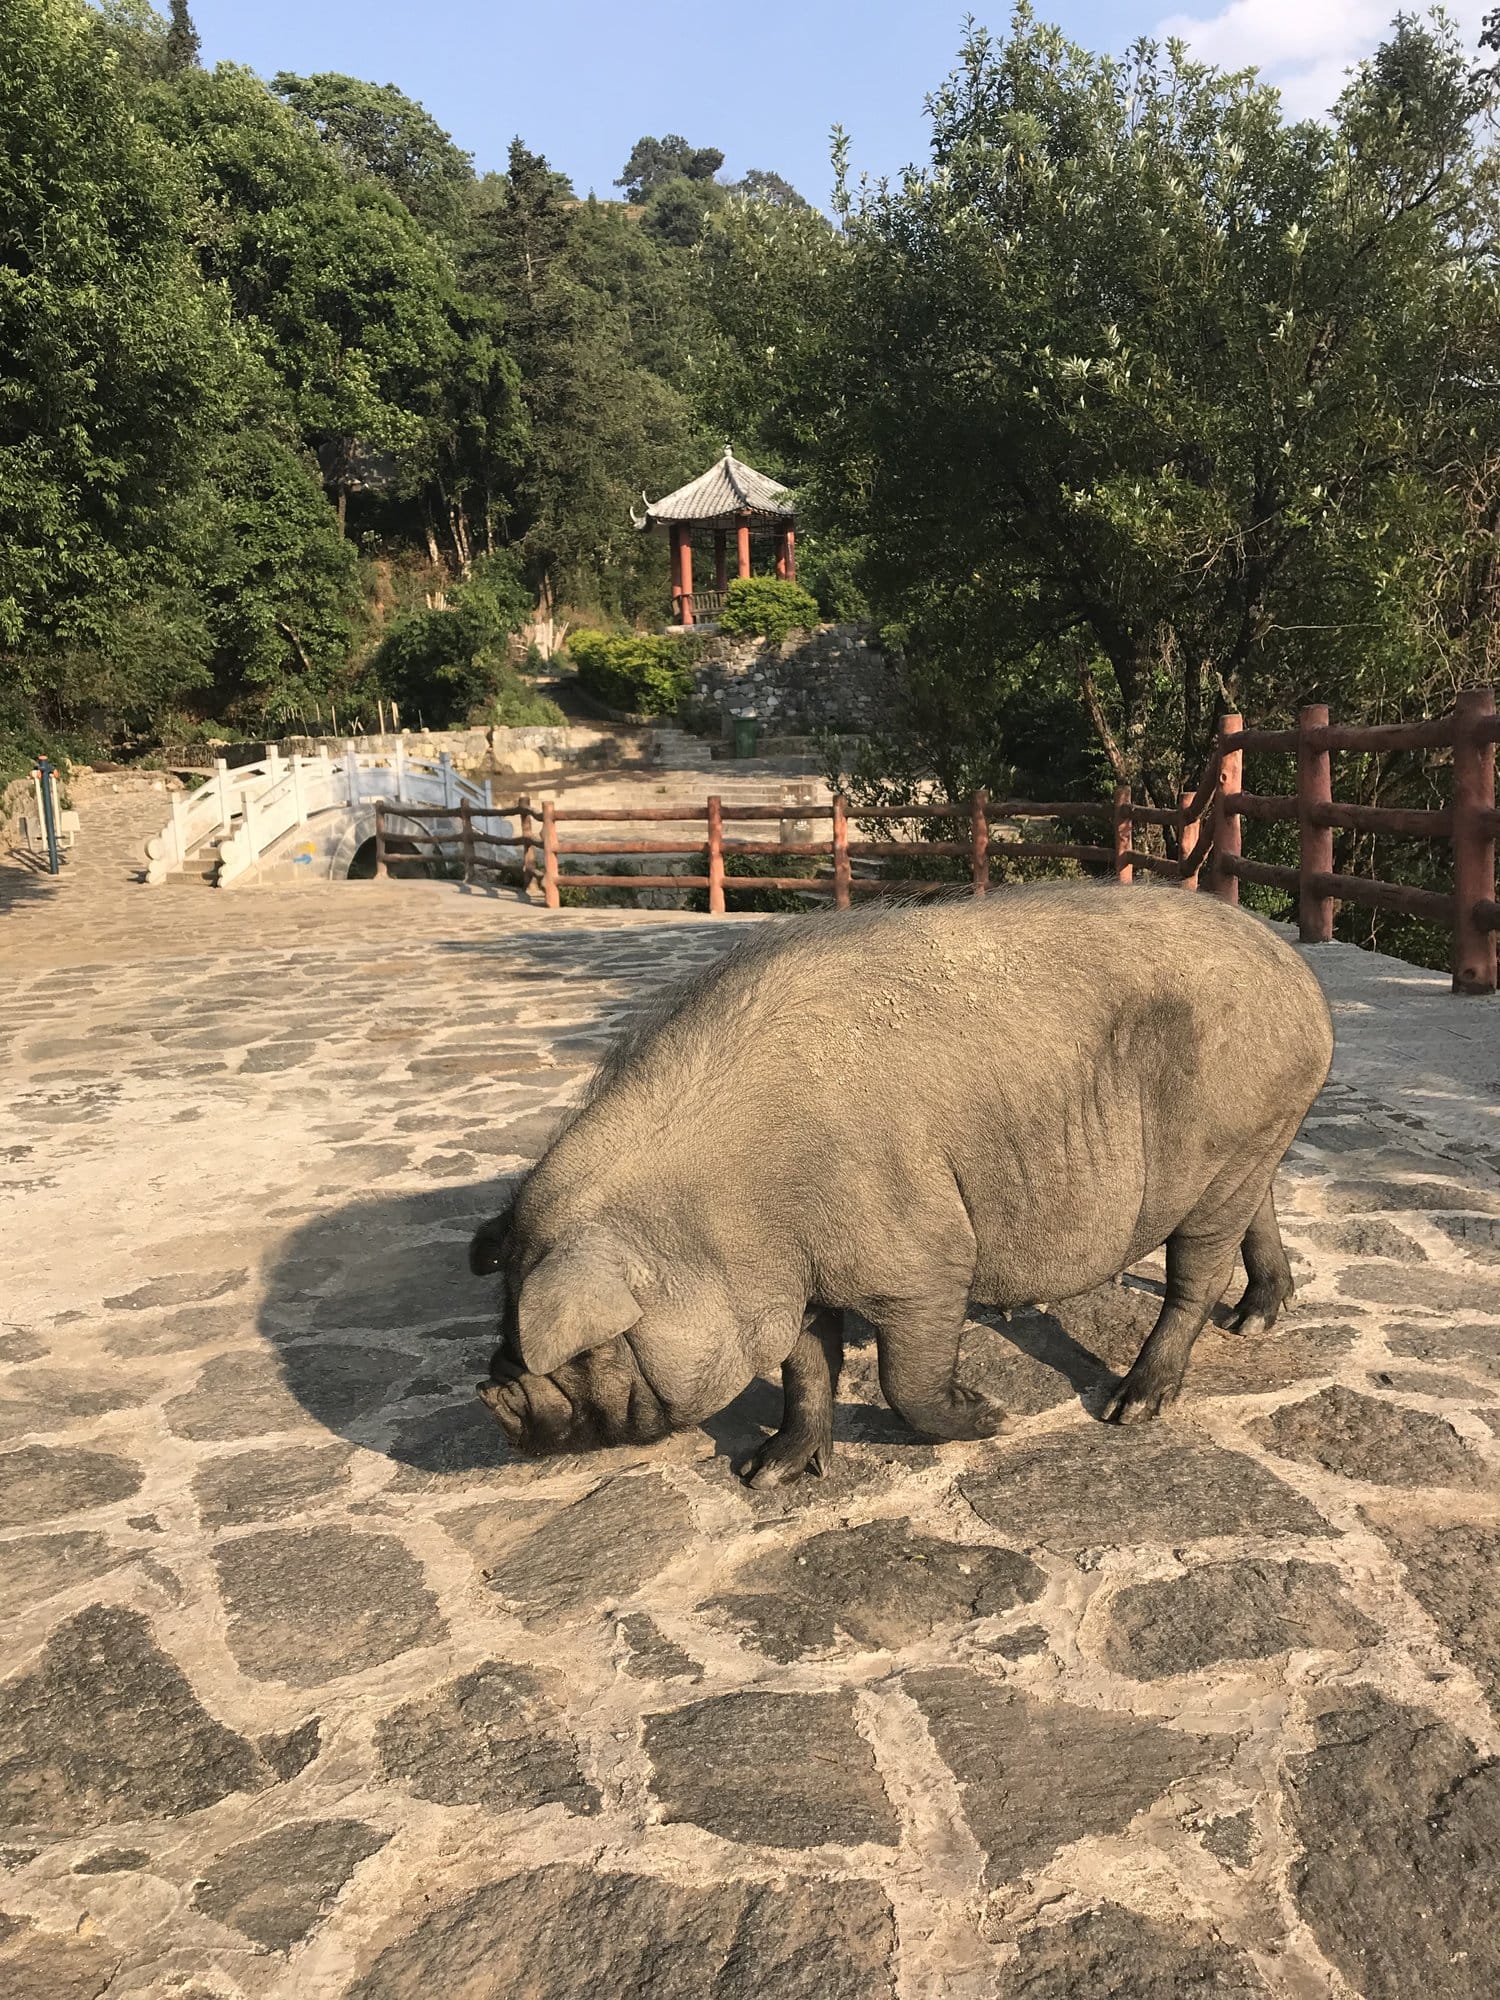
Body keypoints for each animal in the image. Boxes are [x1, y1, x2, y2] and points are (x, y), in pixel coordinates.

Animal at [469, 883, 1333, 1486]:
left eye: (586, 1349)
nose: (495, 1399)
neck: (730, 1216)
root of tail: (1298, 976)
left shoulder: (926, 1261)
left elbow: (902, 1379)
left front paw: (995, 1418)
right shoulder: (801, 1280)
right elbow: (806, 1371)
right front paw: (765, 1476)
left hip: (1233, 1141)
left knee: (1196, 1273)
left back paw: (1130, 1408)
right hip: (1253, 1150)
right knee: (1259, 1216)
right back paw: (1255, 1322)